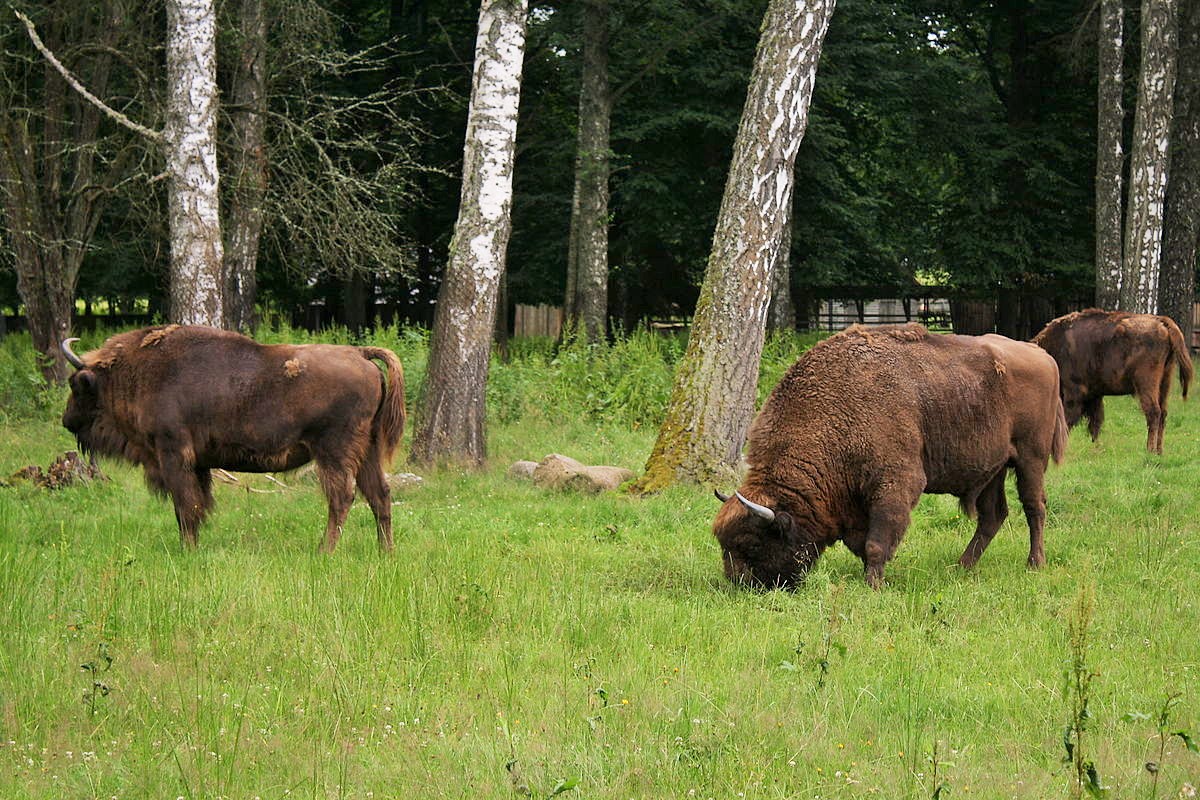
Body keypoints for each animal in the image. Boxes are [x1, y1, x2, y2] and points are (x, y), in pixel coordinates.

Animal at [59, 326, 408, 551]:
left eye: (76, 384)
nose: (66, 420)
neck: (140, 371)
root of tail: (360, 354)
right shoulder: (198, 464)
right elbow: (198, 504)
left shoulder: (173, 454)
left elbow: (184, 505)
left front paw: (187, 549)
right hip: (367, 451)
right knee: (379, 494)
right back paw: (385, 552)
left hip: (333, 452)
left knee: (343, 497)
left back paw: (324, 550)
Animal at [705, 321, 1065, 592]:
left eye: (752, 544)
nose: (737, 584)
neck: (834, 410)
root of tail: (1042, 355)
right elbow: (863, 543)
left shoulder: (895, 484)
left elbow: (877, 542)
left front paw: (873, 585)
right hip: (992, 469)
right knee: (993, 515)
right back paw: (961, 566)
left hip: (1030, 458)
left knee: (1034, 507)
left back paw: (1035, 563)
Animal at [1032, 309, 1190, 453]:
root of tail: (1161, 321)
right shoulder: (1094, 395)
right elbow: (1095, 422)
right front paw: (1095, 447)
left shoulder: (1074, 392)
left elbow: (1069, 419)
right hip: (1165, 380)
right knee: (1163, 413)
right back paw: (1159, 451)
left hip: (1146, 383)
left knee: (1153, 412)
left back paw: (1149, 450)